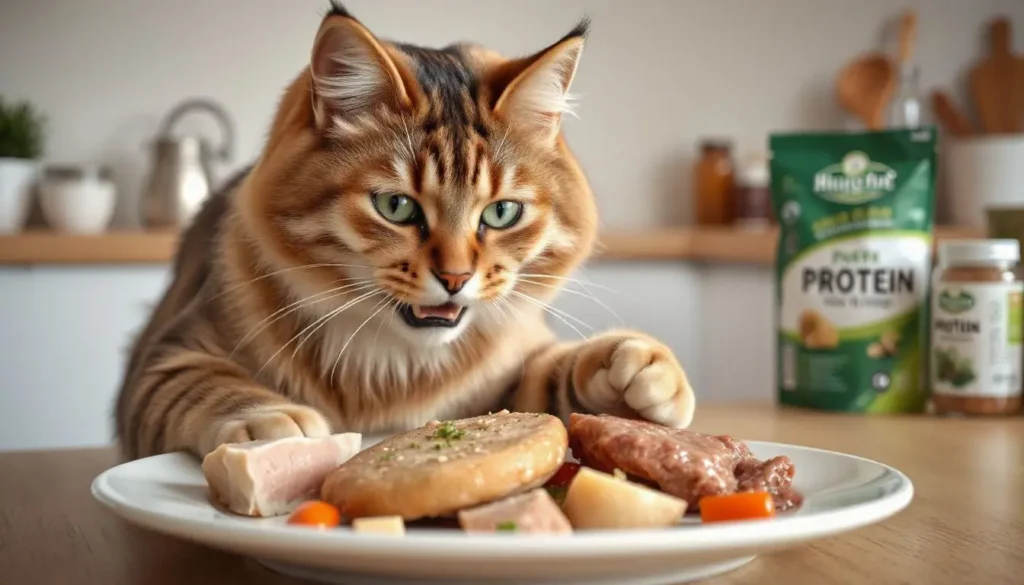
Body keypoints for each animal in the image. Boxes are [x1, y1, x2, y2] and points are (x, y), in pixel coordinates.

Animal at [116, 3, 700, 463]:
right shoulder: (167, 354)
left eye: (501, 213)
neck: (392, 365)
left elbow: (555, 372)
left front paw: (639, 368)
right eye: (396, 206)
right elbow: (205, 384)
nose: (456, 278)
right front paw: (272, 424)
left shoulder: (511, 373)